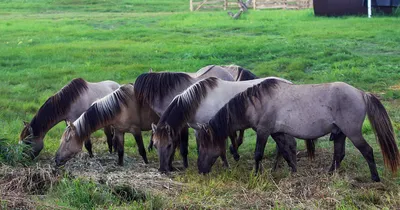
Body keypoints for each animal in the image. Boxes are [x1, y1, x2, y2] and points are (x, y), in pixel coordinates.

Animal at [152, 76, 298, 172]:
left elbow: (222, 150)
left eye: (169, 145)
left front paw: (226, 166)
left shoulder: (215, 129)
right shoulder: (198, 129)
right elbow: (200, 147)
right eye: (155, 145)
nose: (162, 169)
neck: (199, 101)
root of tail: (289, 83)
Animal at [195, 78, 398, 181]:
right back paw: (329, 174)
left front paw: (255, 174)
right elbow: (285, 151)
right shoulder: (276, 133)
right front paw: (293, 171)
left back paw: (375, 178)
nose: (200, 170)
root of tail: (361, 93)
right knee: (339, 154)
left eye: (204, 147)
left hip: (353, 133)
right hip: (340, 133)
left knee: (367, 151)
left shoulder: (263, 131)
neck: (256, 103)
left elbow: (258, 154)